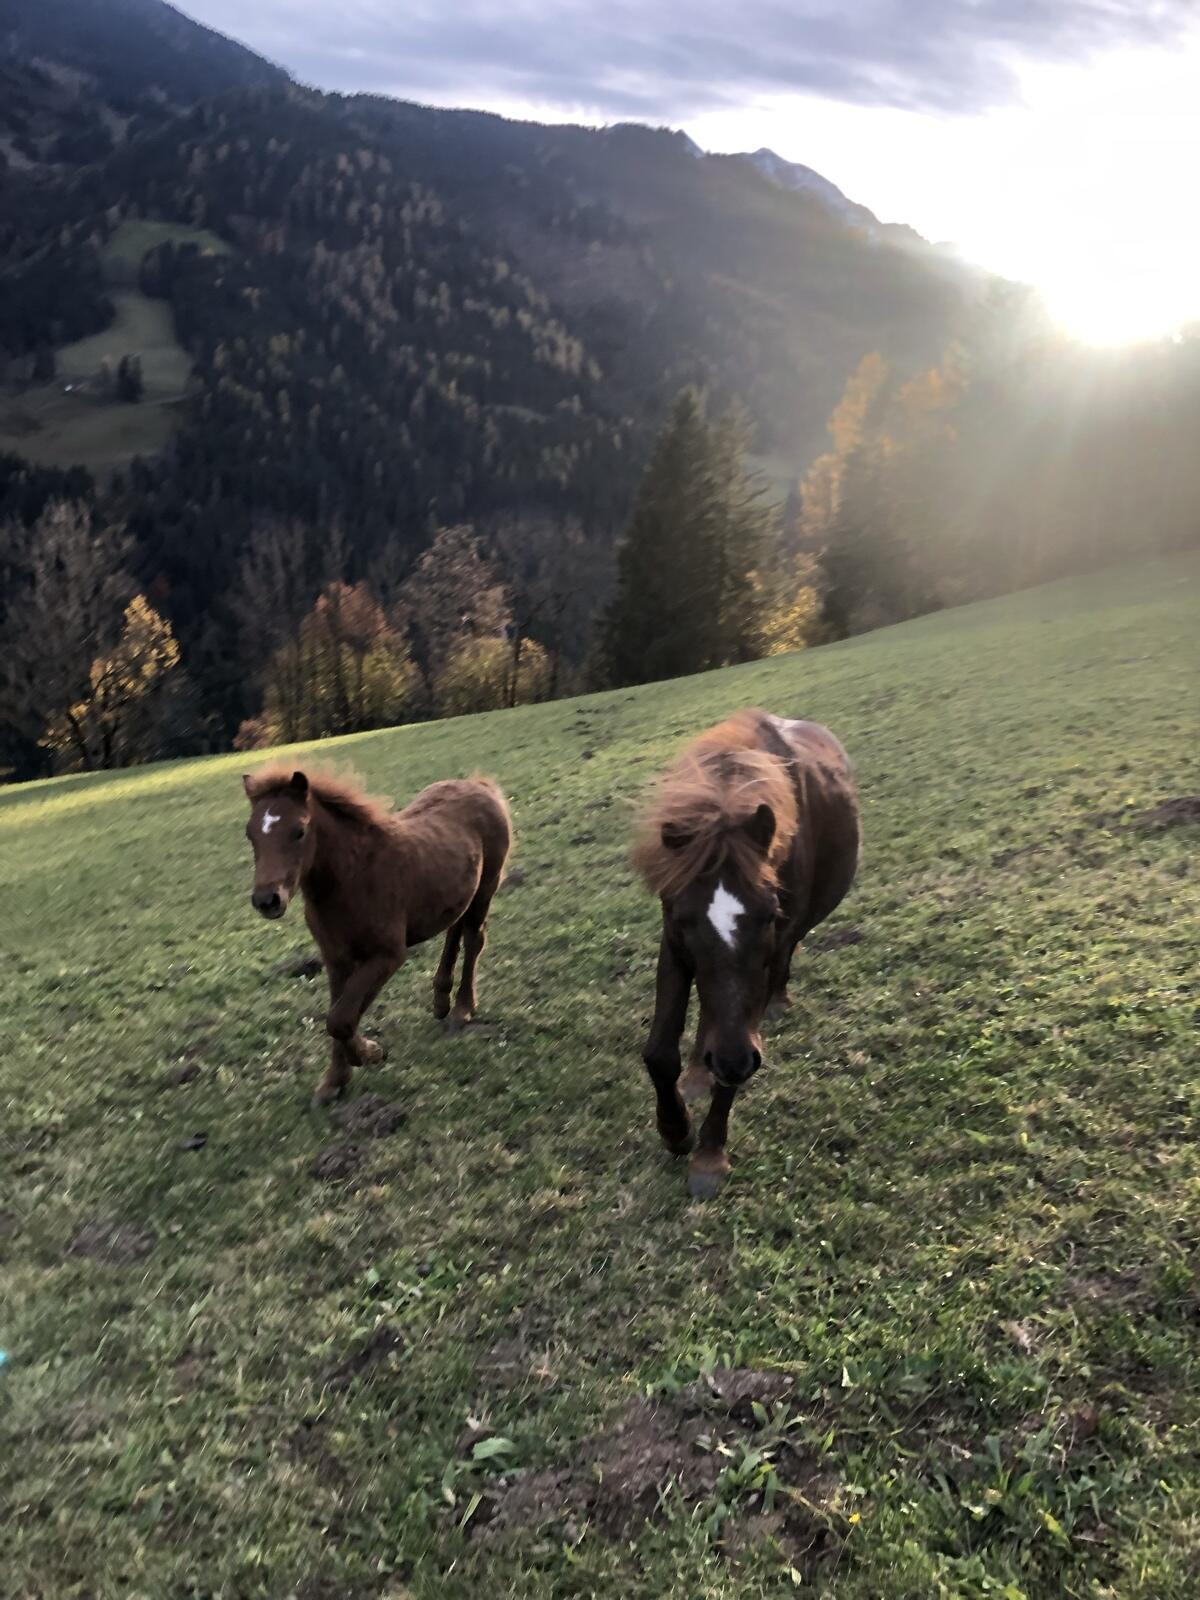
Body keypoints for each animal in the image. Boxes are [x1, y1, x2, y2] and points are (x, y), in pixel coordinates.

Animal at [242, 765, 512, 1105]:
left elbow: (341, 1018)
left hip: (486, 887)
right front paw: (335, 1080)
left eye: (299, 831)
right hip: (459, 890)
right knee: (455, 930)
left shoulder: (388, 955)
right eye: (250, 834)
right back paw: (440, 1000)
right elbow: (338, 1014)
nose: (267, 900)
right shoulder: (335, 959)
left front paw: (369, 1054)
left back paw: (462, 1009)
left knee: (474, 938)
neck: (352, 879)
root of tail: (480, 785)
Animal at [632, 709, 860, 1199]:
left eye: (770, 913)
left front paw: (708, 1155)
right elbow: (660, 1052)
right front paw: (675, 1130)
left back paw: (775, 1004)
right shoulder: (674, 947)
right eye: (683, 918)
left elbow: (735, 1064)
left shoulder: (771, 948)